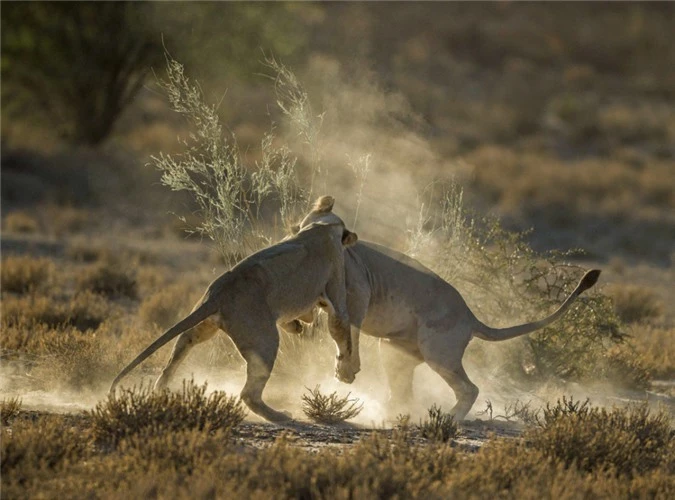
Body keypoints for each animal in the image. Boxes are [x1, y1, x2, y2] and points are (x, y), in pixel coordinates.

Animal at [108, 195, 356, 422]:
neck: (320, 224)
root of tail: (219, 293)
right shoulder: (335, 288)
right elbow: (342, 329)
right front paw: (346, 373)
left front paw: (296, 327)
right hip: (264, 340)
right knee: (249, 394)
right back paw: (281, 416)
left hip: (200, 328)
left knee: (171, 362)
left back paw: (161, 393)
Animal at [286, 201, 604, 420]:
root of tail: (471, 317)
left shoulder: (358, 294)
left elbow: (348, 333)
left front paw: (345, 370)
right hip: (394, 350)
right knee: (404, 391)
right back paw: (393, 414)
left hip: (439, 352)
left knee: (470, 388)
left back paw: (448, 419)